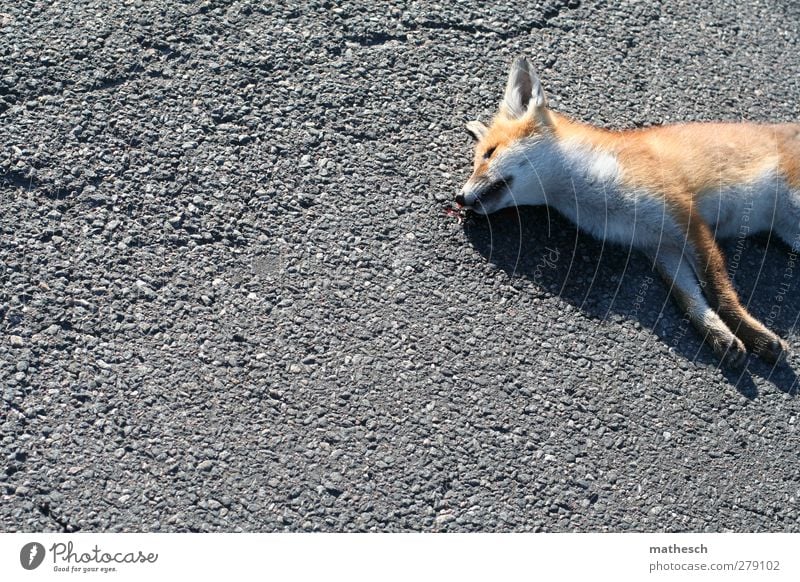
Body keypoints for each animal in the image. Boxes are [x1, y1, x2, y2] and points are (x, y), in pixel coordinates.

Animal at [456, 53, 800, 364]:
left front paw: (757, 336)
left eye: (489, 153)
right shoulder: (659, 246)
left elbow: (719, 292)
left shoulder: (687, 218)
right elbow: (690, 300)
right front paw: (720, 336)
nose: (459, 197)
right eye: (475, 161)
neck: (599, 199)